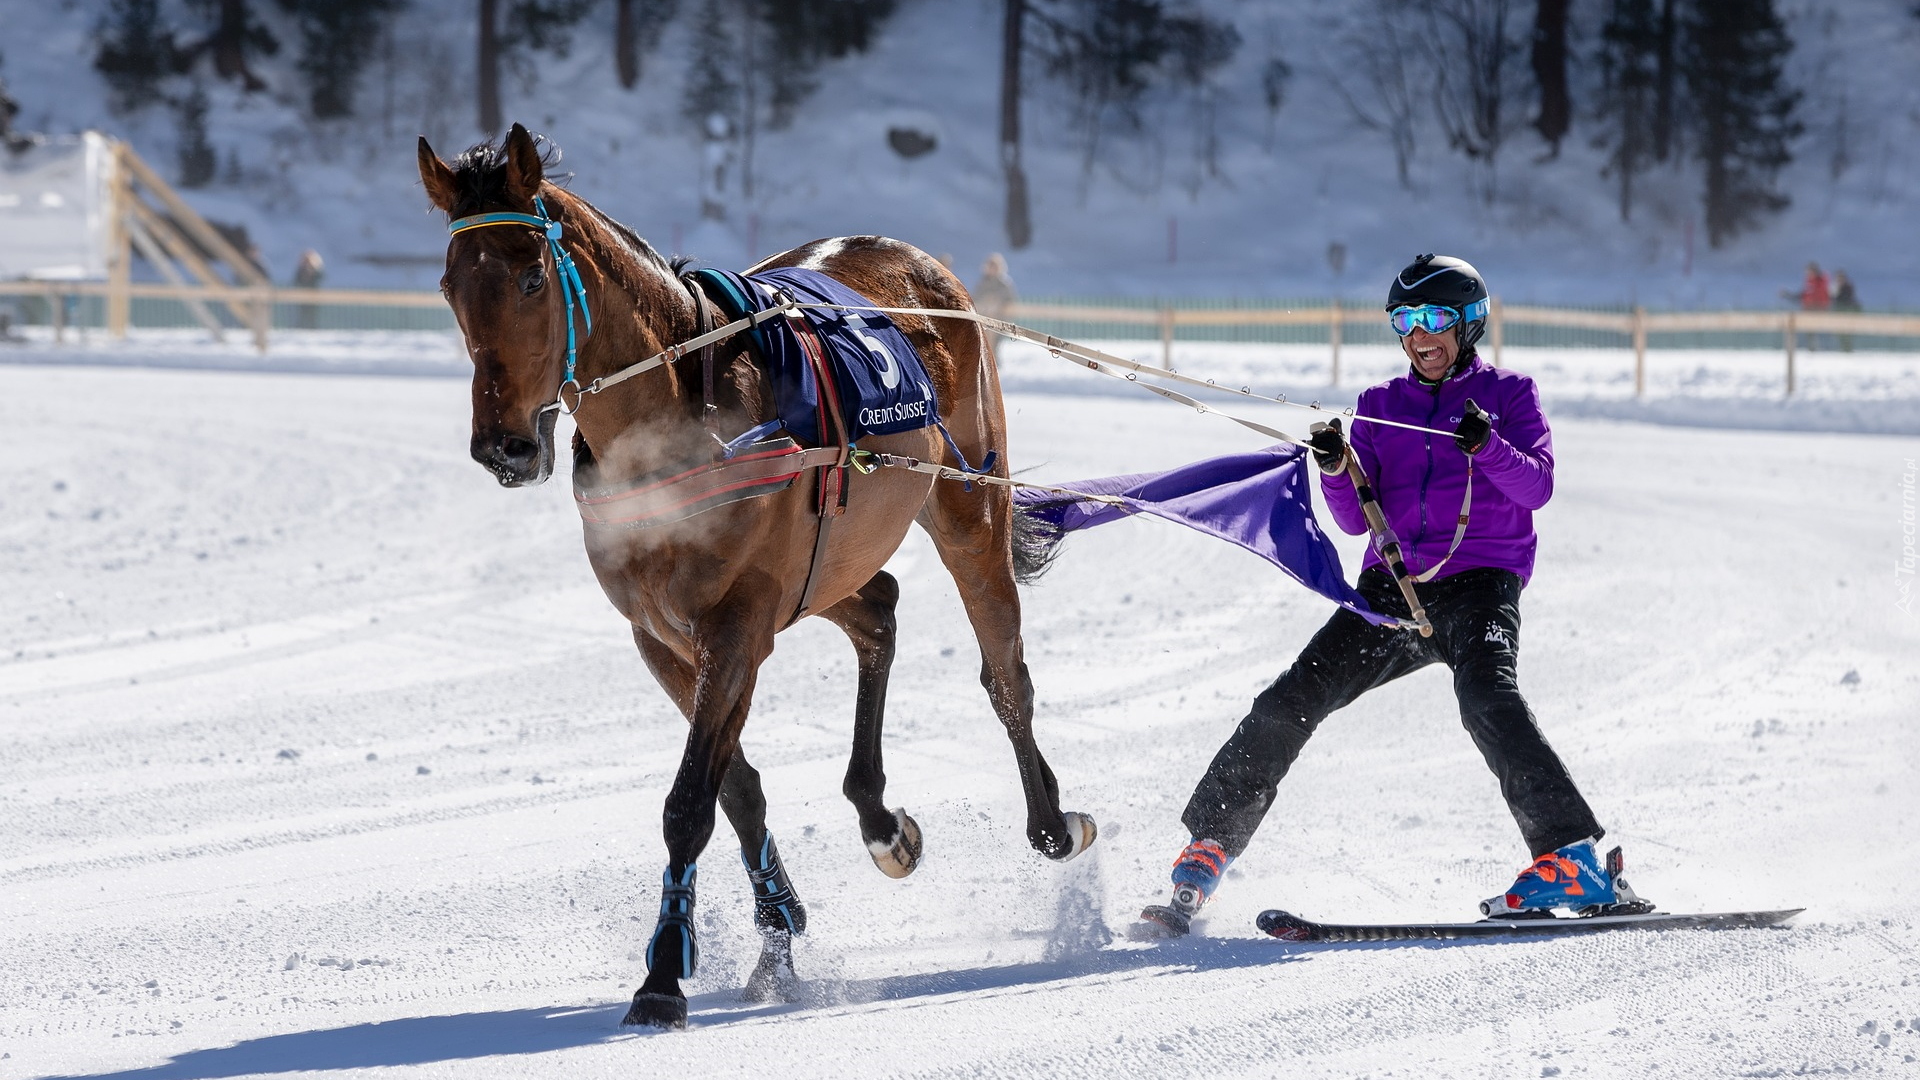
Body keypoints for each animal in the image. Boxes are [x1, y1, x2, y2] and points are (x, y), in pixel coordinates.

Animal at [418, 122, 1098, 1022]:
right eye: (449, 285)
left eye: (532, 276)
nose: (504, 447)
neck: (680, 411)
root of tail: (924, 264)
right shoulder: (664, 636)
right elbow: (734, 788)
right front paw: (777, 933)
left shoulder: (736, 626)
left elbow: (688, 802)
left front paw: (664, 973)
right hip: (829, 562)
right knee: (878, 612)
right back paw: (879, 818)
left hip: (965, 504)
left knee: (1005, 671)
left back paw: (1051, 820)